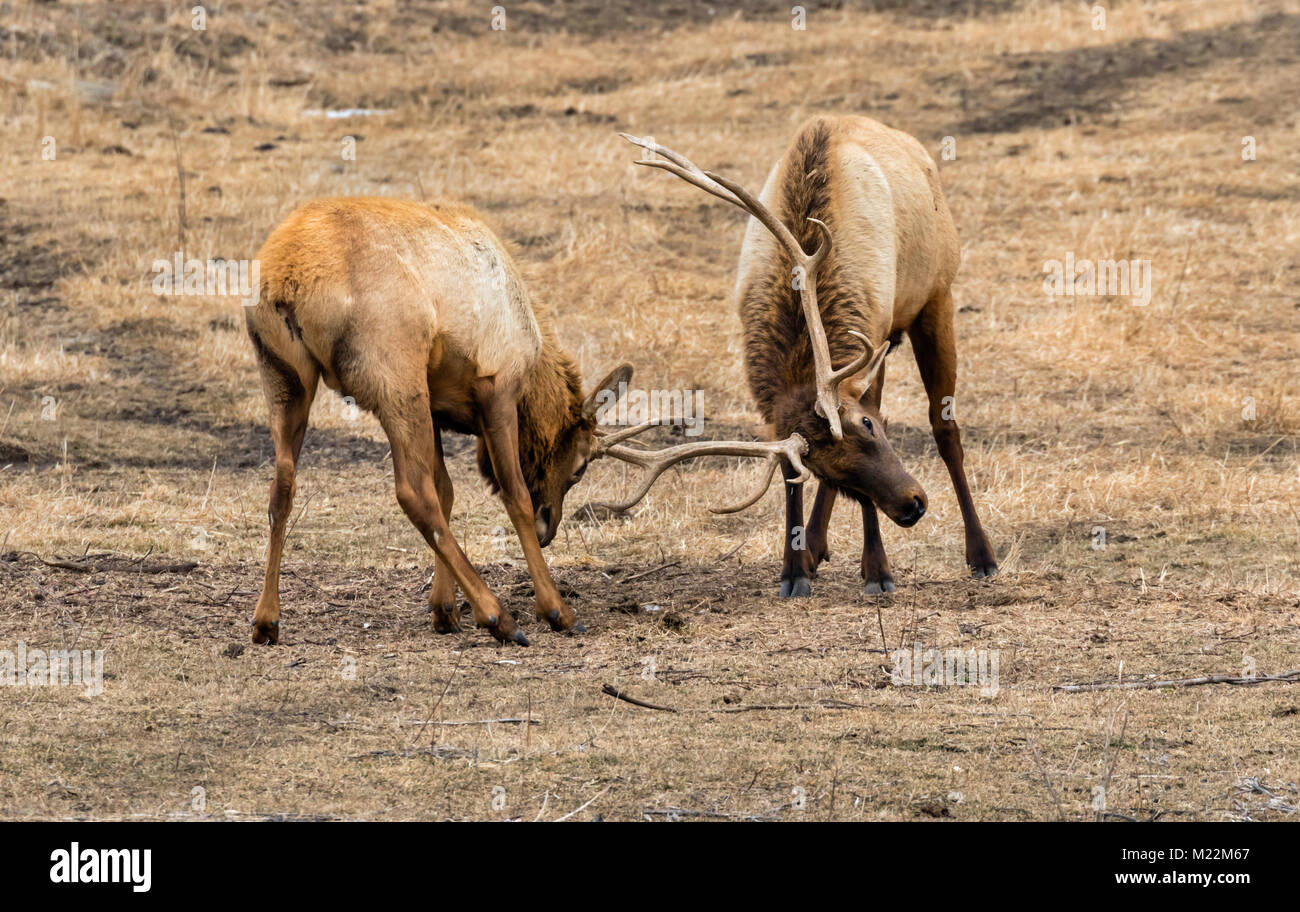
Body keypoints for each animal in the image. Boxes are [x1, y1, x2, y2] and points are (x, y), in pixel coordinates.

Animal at [244, 197, 811, 646]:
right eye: (580, 467)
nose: (549, 525)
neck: (534, 362)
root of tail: (289, 276)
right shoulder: (495, 386)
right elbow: (509, 493)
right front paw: (553, 609)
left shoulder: (437, 400)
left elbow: (450, 490)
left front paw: (444, 609)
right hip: (392, 373)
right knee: (411, 491)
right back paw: (502, 617)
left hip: (284, 377)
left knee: (283, 485)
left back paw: (266, 620)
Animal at [618, 114, 993, 600]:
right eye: (827, 470)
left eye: (868, 427)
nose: (913, 504)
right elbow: (786, 470)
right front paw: (793, 569)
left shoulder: (878, 331)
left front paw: (878, 571)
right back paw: (815, 548)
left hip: (937, 294)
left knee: (946, 429)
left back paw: (982, 555)